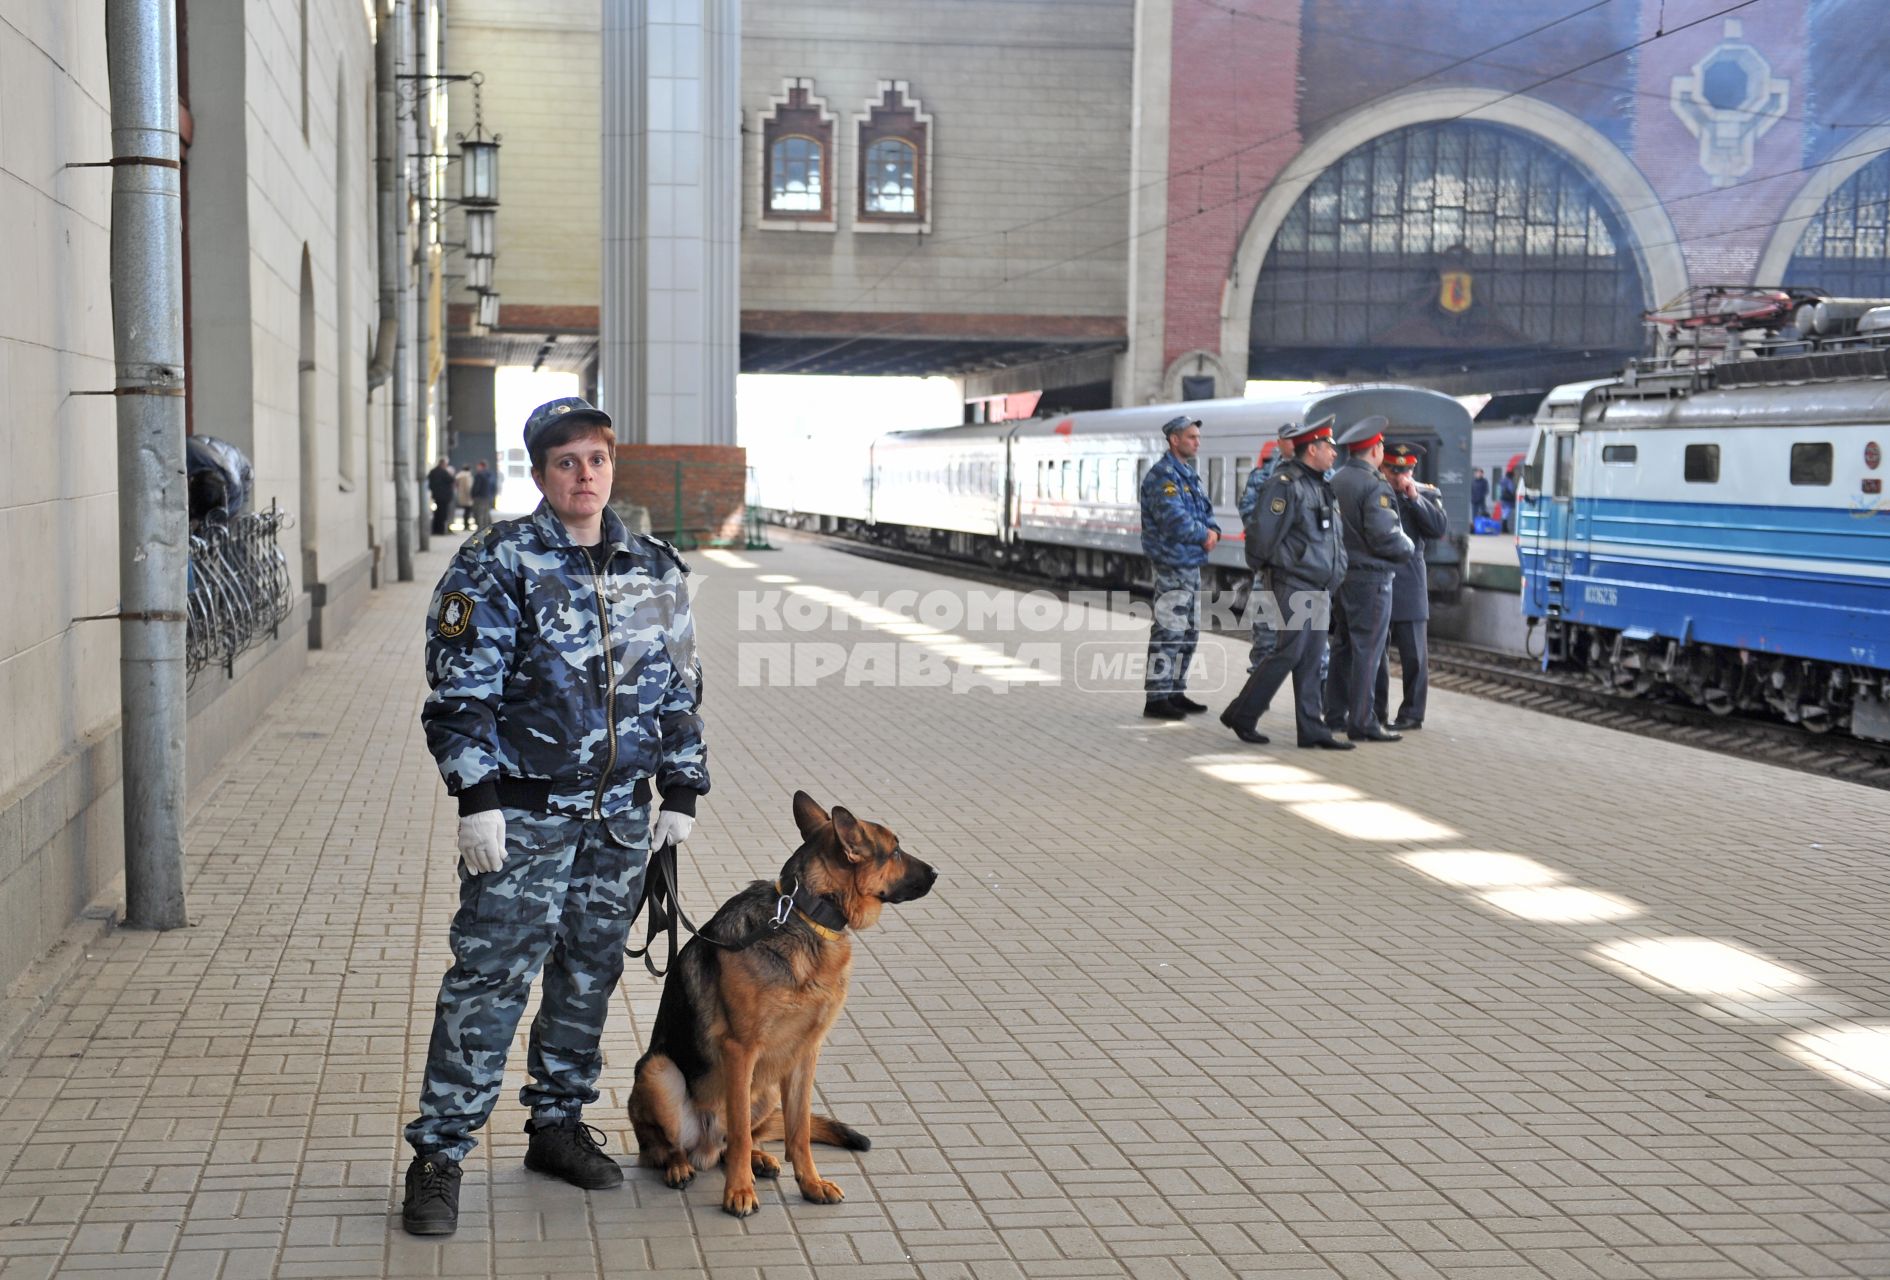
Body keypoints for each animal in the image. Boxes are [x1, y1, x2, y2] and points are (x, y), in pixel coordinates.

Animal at [627, 782, 937, 1210]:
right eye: (894, 852)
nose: (937, 873)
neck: (805, 914)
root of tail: (704, 1146)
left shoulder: (806, 1052)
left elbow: (799, 1129)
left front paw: (810, 1183)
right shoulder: (740, 1050)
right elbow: (740, 1129)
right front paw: (739, 1191)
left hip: (768, 1088)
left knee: (735, 1143)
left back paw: (759, 1159)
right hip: (660, 1071)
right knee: (668, 1146)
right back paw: (680, 1166)